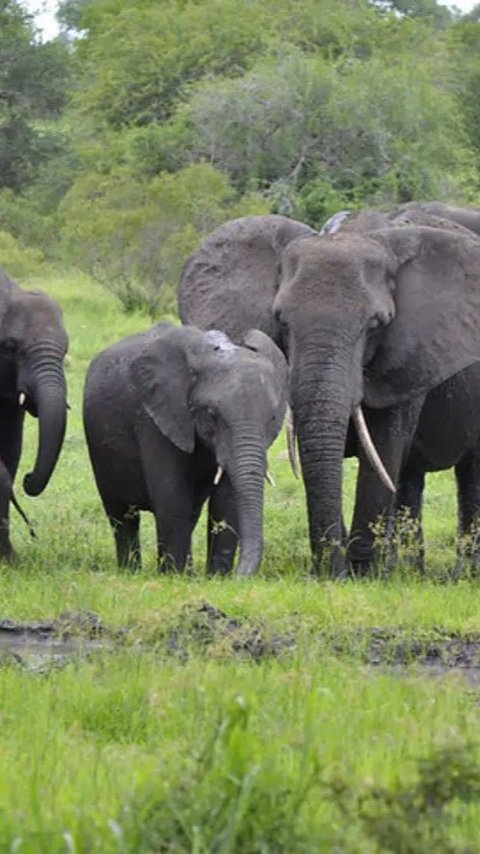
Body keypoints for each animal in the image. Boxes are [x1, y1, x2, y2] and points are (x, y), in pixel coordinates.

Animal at [83, 324, 288, 580]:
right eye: (211, 414)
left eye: (272, 418)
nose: (240, 576)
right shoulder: (156, 418)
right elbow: (172, 496)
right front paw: (179, 578)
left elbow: (226, 502)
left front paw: (216, 578)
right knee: (122, 516)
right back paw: (131, 572)